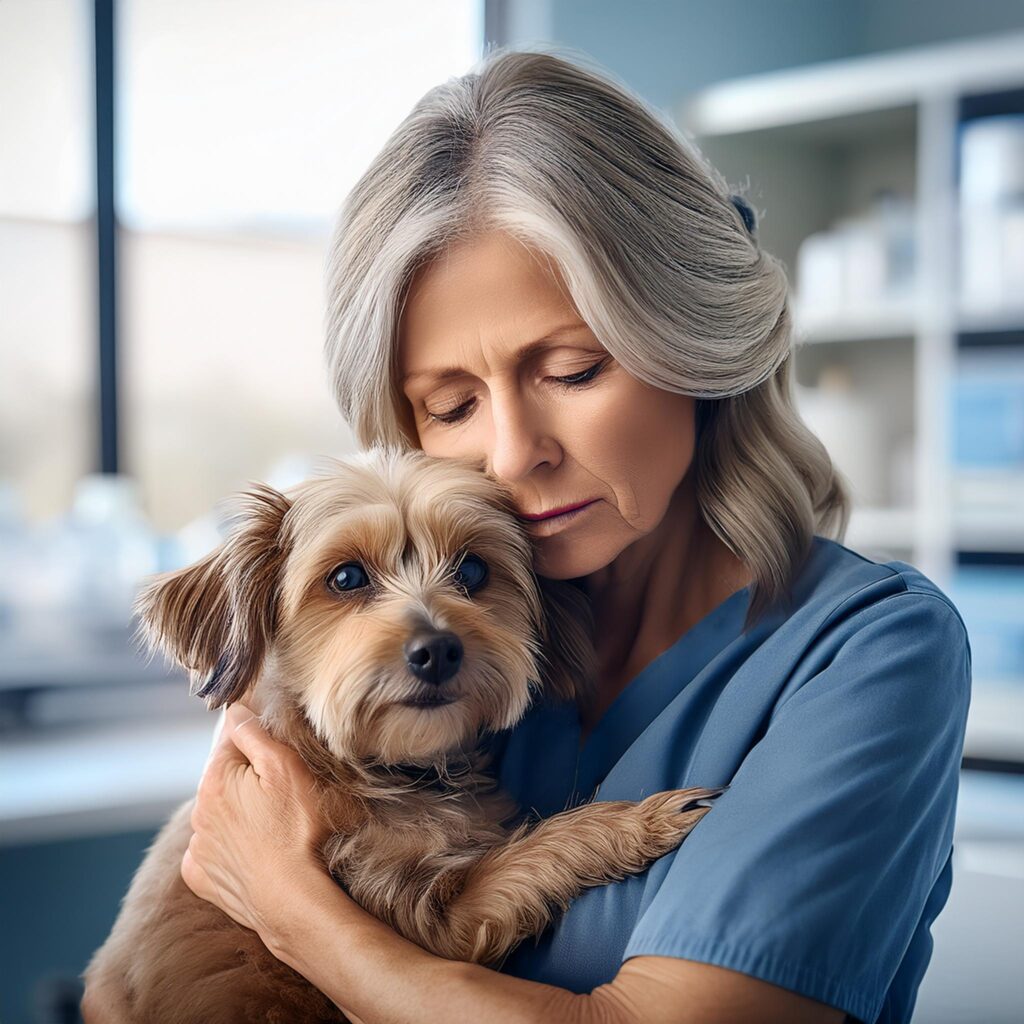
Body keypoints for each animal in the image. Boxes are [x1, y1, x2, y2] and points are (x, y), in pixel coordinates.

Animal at [81, 448, 720, 1024]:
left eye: (472, 570)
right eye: (346, 577)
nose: (437, 650)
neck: (386, 769)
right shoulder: (426, 919)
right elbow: (536, 850)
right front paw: (637, 821)